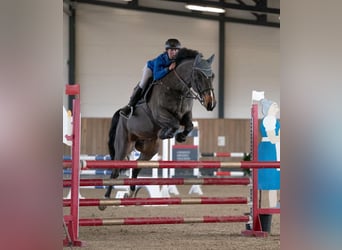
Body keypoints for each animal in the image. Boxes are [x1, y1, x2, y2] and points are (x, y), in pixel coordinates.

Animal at [99, 48, 216, 209]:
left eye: (213, 76)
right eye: (199, 76)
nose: (211, 104)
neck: (177, 89)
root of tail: (120, 114)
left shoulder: (186, 115)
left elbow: (189, 125)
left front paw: (180, 136)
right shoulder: (160, 115)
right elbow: (173, 124)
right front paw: (166, 133)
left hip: (150, 149)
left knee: (136, 167)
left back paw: (130, 193)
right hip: (124, 144)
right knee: (115, 170)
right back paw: (105, 200)